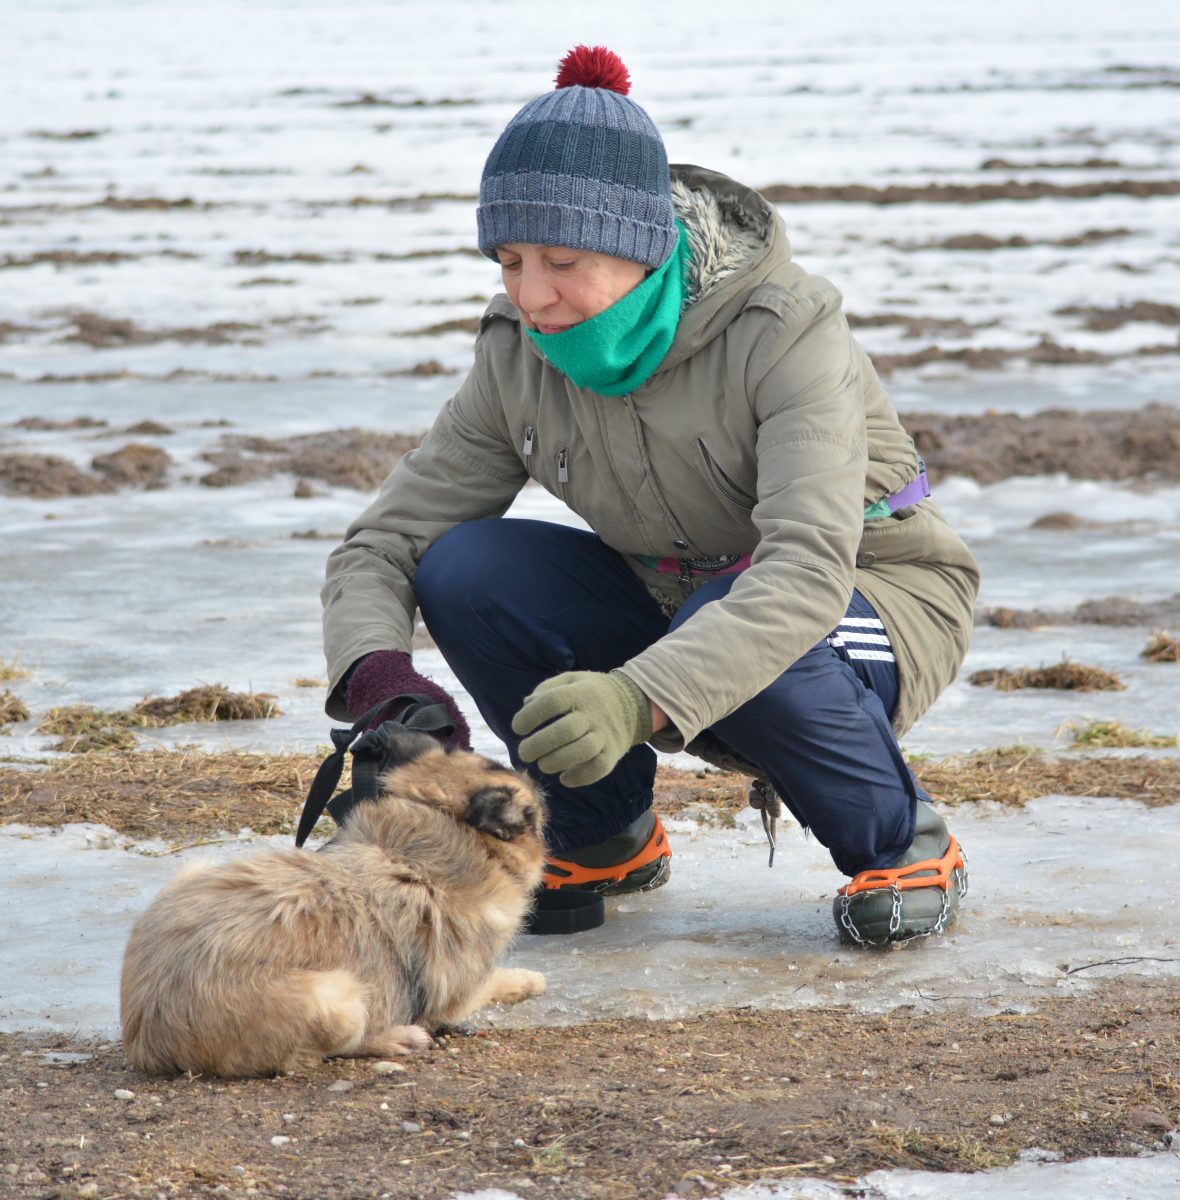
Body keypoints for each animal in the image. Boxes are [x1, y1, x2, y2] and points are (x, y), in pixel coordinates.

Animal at [120, 729, 547, 1077]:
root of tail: (146, 1038)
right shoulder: (461, 993)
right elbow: (496, 980)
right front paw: (528, 980)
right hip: (339, 996)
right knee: (317, 1054)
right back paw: (398, 1038)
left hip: (196, 871)